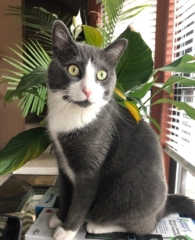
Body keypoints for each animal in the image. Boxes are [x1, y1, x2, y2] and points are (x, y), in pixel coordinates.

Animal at [46, 20, 195, 240]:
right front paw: (59, 218)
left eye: (101, 75)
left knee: (142, 226)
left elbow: (80, 201)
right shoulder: (61, 162)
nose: (87, 91)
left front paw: (67, 230)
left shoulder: (91, 167)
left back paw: (97, 226)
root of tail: (163, 207)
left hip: (129, 194)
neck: (73, 116)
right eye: (73, 69)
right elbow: (65, 192)